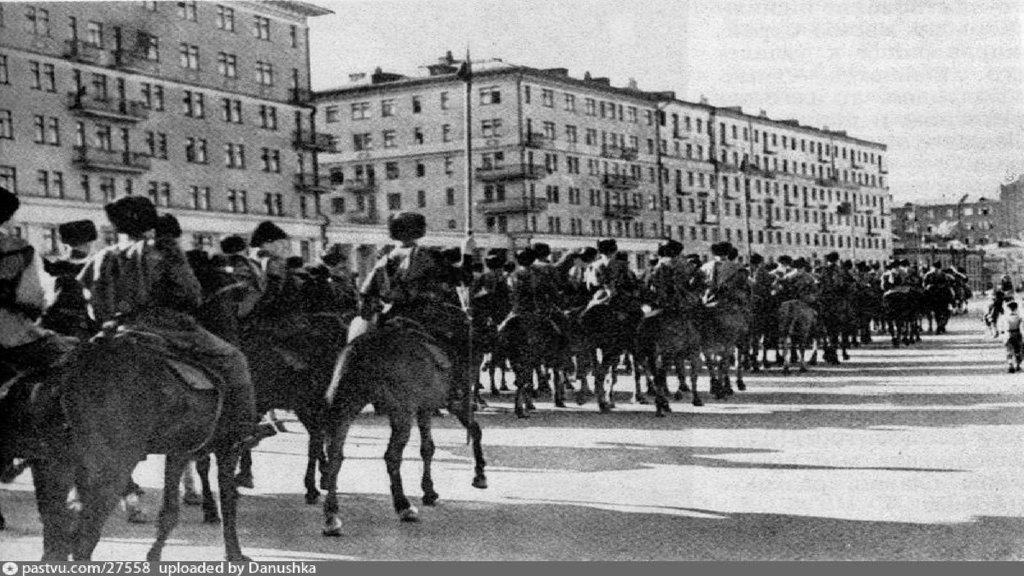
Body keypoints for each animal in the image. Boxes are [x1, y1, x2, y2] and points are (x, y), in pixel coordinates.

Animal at [323, 305, 491, 532]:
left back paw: (331, 515)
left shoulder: (425, 408)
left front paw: (429, 491)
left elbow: (427, 448)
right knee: (391, 456)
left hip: (347, 406)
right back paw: (403, 505)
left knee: (335, 453)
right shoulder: (456, 401)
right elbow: (475, 430)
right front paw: (479, 475)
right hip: (401, 413)